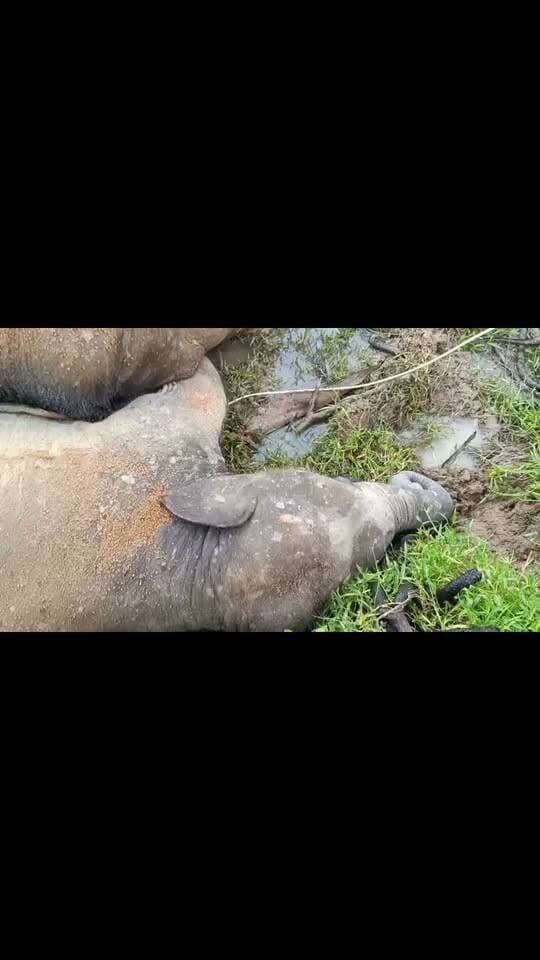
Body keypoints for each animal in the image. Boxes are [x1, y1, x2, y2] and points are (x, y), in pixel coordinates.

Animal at [0, 357, 454, 632]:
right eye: (344, 481)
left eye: (382, 548)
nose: (439, 503)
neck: (199, 571)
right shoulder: (161, 441)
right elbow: (204, 384)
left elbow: (203, 385)